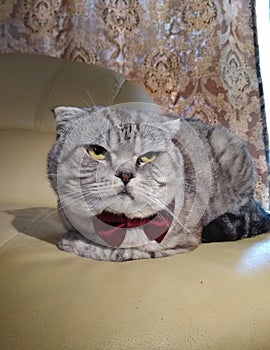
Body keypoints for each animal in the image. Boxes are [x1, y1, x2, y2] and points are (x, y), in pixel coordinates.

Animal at [48, 105, 270, 262]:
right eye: (96, 151)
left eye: (147, 157)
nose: (125, 174)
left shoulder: (179, 240)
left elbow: (124, 250)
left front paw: (73, 243)